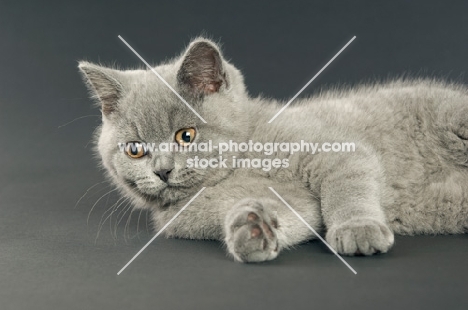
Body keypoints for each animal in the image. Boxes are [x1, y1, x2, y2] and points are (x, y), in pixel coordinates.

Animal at [77, 37, 468, 262]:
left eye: (186, 135)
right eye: (135, 150)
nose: (161, 170)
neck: (243, 161)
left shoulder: (336, 150)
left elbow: (347, 186)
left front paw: (358, 230)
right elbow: (301, 214)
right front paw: (252, 229)